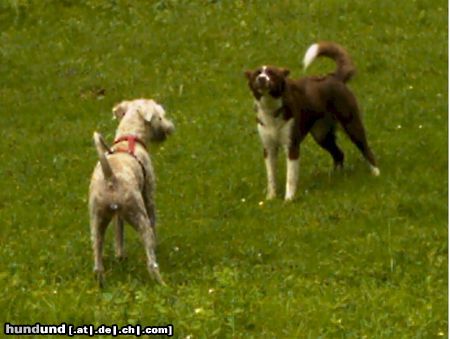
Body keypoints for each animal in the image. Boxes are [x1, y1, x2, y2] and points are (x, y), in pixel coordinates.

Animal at [246, 42, 380, 202]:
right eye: (257, 73)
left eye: (271, 73)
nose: (262, 78)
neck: (272, 109)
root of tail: (335, 77)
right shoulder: (269, 148)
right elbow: (271, 177)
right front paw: (270, 198)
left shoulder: (292, 146)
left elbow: (290, 177)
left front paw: (288, 199)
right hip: (321, 135)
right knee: (339, 154)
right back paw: (336, 176)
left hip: (351, 125)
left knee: (366, 149)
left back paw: (376, 172)